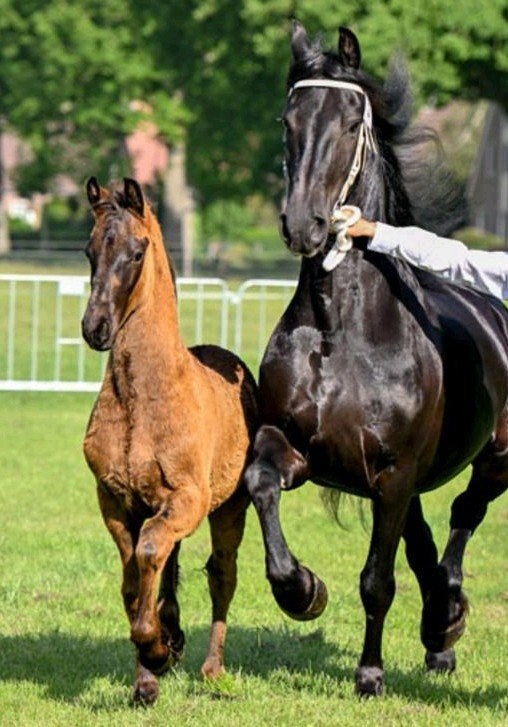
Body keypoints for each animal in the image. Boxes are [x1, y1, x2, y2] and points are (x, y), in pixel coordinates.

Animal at [82, 177, 258, 705]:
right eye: (89, 250)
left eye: (137, 252)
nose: (95, 328)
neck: (143, 401)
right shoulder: (116, 502)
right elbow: (134, 582)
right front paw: (146, 679)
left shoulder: (188, 498)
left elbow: (149, 558)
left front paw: (158, 651)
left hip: (228, 507)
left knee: (222, 575)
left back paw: (212, 668)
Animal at [244, 22, 508, 696]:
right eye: (288, 120)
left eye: (347, 124)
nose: (304, 226)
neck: (341, 335)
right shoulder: (299, 449)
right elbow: (260, 483)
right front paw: (302, 590)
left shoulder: (392, 474)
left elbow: (377, 581)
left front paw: (369, 673)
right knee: (424, 543)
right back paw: (440, 627)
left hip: (493, 460)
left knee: (463, 515)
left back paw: (444, 624)